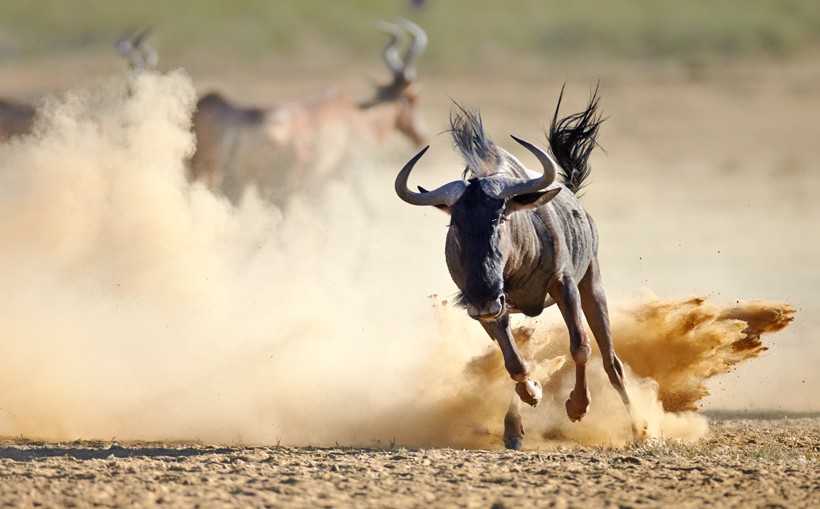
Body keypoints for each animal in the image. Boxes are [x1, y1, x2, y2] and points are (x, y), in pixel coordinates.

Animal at [191, 19, 430, 202]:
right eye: (413, 99)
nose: (421, 135)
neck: (352, 112)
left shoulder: (319, 185)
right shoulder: (350, 176)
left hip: (235, 184)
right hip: (277, 188)